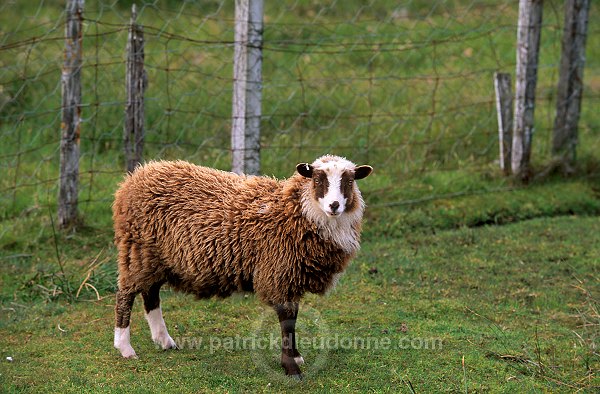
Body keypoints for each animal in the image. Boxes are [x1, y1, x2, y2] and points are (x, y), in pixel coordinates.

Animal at [111, 153, 370, 376]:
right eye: (317, 179)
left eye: (349, 181)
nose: (334, 205)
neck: (295, 212)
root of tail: (135, 177)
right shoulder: (278, 271)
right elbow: (287, 319)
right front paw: (291, 368)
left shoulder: (291, 274)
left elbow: (294, 316)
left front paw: (295, 356)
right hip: (137, 249)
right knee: (126, 294)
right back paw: (125, 347)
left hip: (155, 257)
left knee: (150, 293)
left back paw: (164, 340)